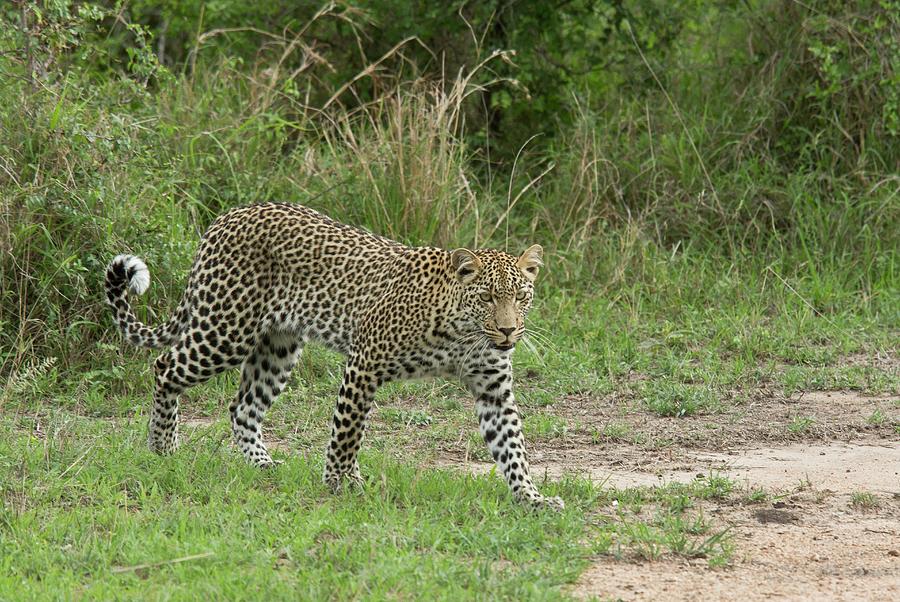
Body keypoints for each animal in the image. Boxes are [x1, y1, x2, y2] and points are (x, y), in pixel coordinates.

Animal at [105, 202, 563, 510]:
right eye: (487, 298)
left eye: (521, 297)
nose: (508, 330)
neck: (463, 332)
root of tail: (229, 216)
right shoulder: (364, 363)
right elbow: (347, 432)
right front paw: (340, 483)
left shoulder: (493, 389)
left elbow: (512, 447)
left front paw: (532, 497)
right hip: (225, 330)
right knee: (165, 366)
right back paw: (162, 446)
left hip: (278, 346)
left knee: (243, 407)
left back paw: (262, 464)